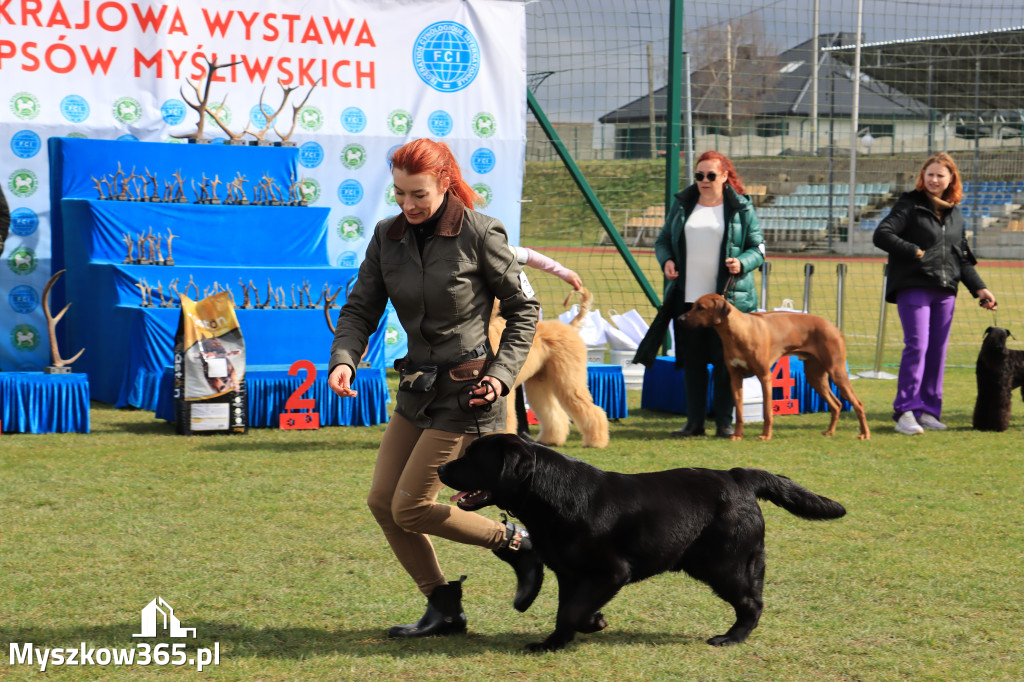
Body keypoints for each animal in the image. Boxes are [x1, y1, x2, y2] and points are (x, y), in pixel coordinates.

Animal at [487, 286, 606, 446]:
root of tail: (570, 327)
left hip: (569, 379)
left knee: (591, 409)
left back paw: (596, 441)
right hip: (540, 382)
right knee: (553, 412)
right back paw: (551, 439)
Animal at [679, 292, 872, 440]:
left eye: (701, 308)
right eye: (692, 305)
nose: (680, 319)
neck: (738, 332)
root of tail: (834, 327)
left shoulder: (765, 377)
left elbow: (767, 411)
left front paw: (766, 435)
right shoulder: (735, 377)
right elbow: (739, 412)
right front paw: (737, 435)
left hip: (836, 371)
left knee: (858, 403)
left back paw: (864, 434)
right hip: (815, 376)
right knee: (837, 404)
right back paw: (830, 431)